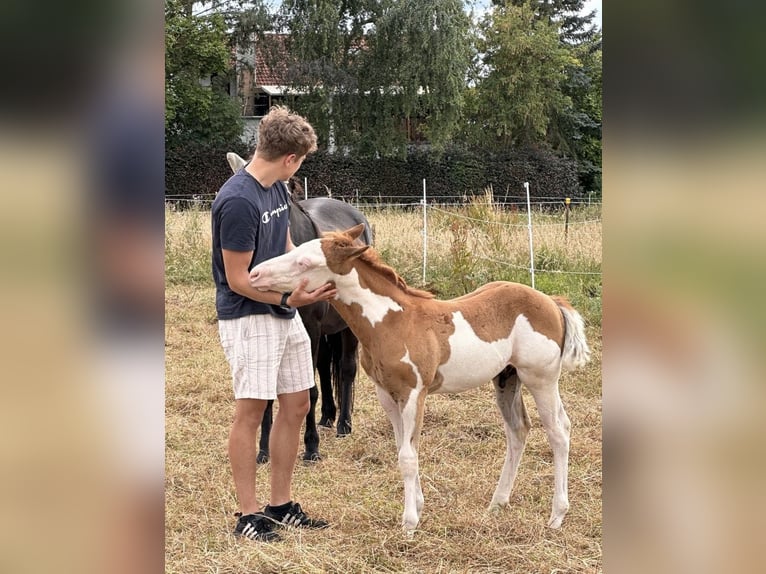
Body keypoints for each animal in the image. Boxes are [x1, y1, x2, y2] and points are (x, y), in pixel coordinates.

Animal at [252, 224, 592, 536]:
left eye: (304, 262)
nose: (255, 274)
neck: (392, 321)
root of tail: (551, 302)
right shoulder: (388, 395)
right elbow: (404, 448)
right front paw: (417, 506)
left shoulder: (414, 393)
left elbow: (407, 456)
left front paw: (409, 523)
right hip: (506, 379)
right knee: (518, 430)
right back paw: (497, 503)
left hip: (540, 379)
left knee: (559, 430)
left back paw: (557, 516)